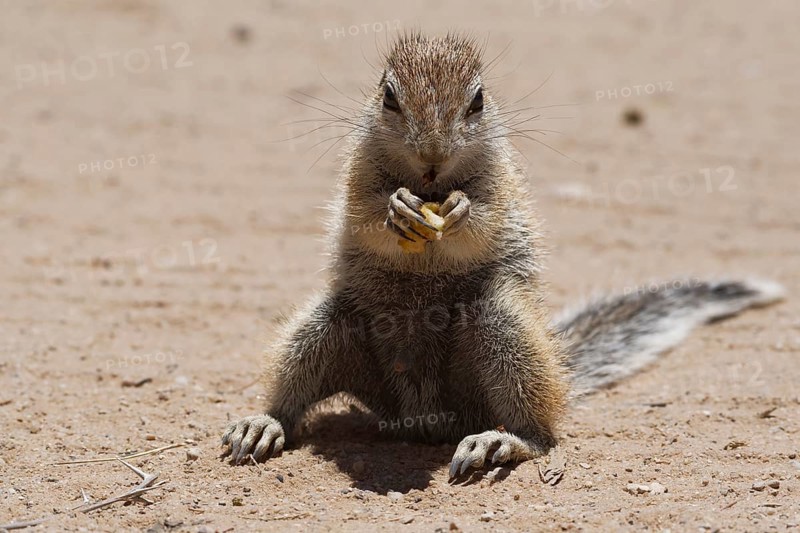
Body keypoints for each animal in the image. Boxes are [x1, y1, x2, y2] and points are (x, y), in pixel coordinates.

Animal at [221, 32, 785, 478]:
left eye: (477, 101)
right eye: (388, 97)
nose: (431, 158)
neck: (431, 184)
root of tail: (421, 416)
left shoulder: (503, 182)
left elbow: (488, 216)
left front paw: (462, 212)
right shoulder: (356, 174)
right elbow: (361, 211)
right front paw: (396, 211)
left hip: (502, 327)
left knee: (542, 433)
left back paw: (503, 440)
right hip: (322, 328)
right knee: (292, 393)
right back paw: (262, 424)